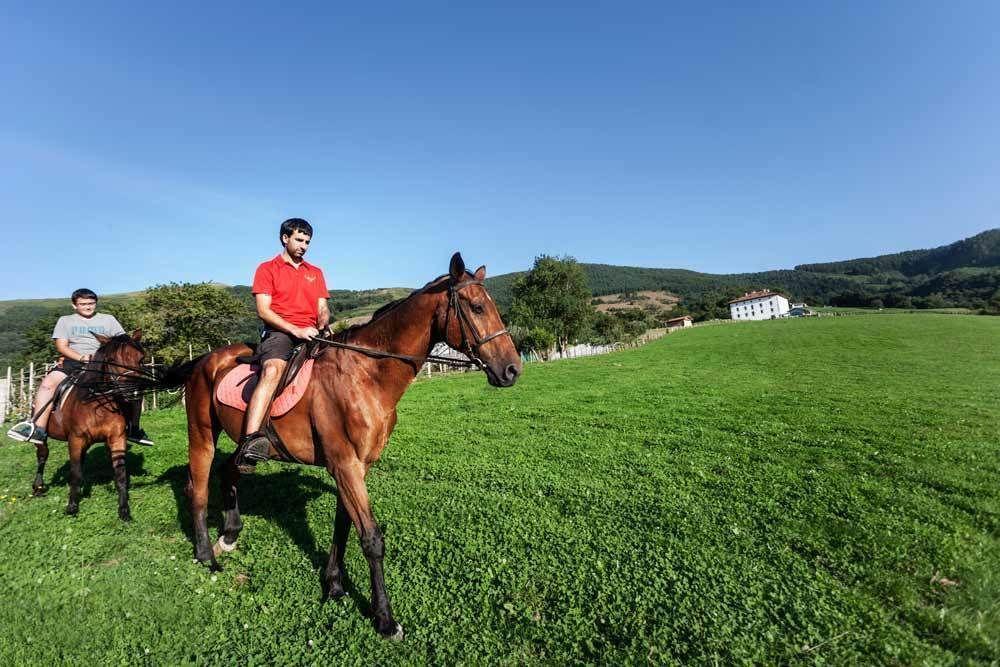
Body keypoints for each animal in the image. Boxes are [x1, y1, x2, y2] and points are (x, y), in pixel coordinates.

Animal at [35, 332, 147, 520]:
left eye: (141, 358)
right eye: (111, 360)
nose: (133, 391)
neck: (98, 406)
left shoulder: (117, 438)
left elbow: (120, 474)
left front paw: (124, 510)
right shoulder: (75, 440)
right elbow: (75, 473)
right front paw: (72, 507)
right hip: (43, 435)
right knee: (42, 455)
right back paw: (38, 486)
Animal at [162, 253, 524, 640]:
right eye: (476, 307)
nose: (512, 370)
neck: (365, 374)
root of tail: (204, 360)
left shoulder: (355, 466)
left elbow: (344, 526)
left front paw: (334, 584)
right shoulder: (345, 465)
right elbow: (371, 539)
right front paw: (384, 619)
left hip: (244, 446)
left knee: (231, 469)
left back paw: (229, 535)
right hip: (202, 434)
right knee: (198, 488)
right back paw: (206, 555)